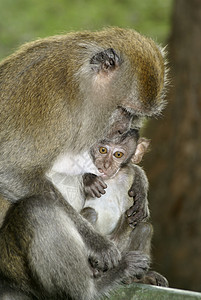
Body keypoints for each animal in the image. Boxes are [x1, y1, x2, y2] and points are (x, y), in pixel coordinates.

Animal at [0, 27, 166, 298]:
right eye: (124, 110)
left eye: (134, 116)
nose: (123, 129)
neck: (79, 88)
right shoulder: (52, 104)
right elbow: (10, 170)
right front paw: (98, 244)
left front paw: (139, 181)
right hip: (13, 263)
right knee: (38, 210)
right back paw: (99, 285)